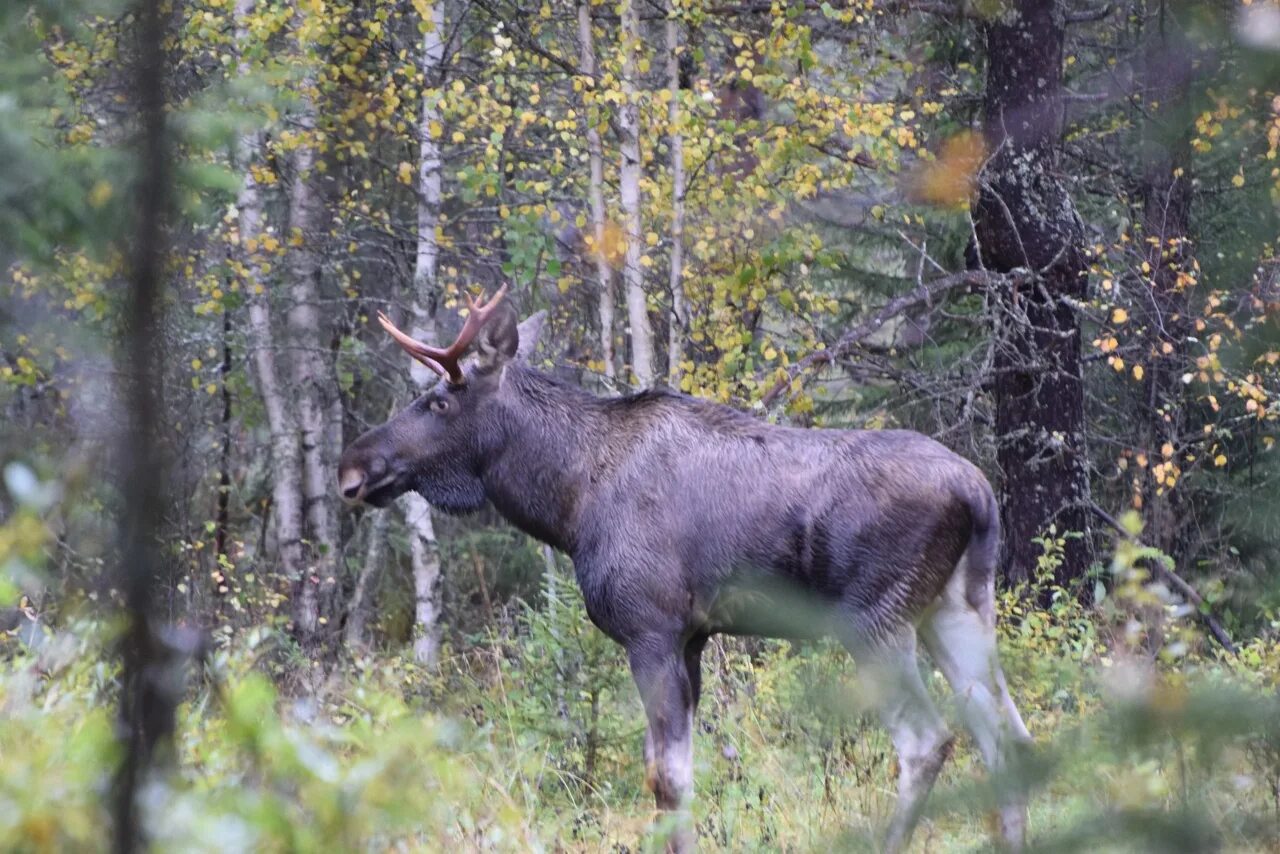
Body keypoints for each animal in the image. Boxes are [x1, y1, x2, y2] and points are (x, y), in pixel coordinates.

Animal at [337, 289, 1029, 854]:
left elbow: (665, 777)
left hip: (875, 619)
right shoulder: (694, 638)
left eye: (438, 400)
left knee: (927, 742)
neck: (568, 504)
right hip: (957, 608)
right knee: (1008, 737)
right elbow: (678, 773)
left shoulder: (652, 629)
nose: (353, 465)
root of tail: (977, 493)